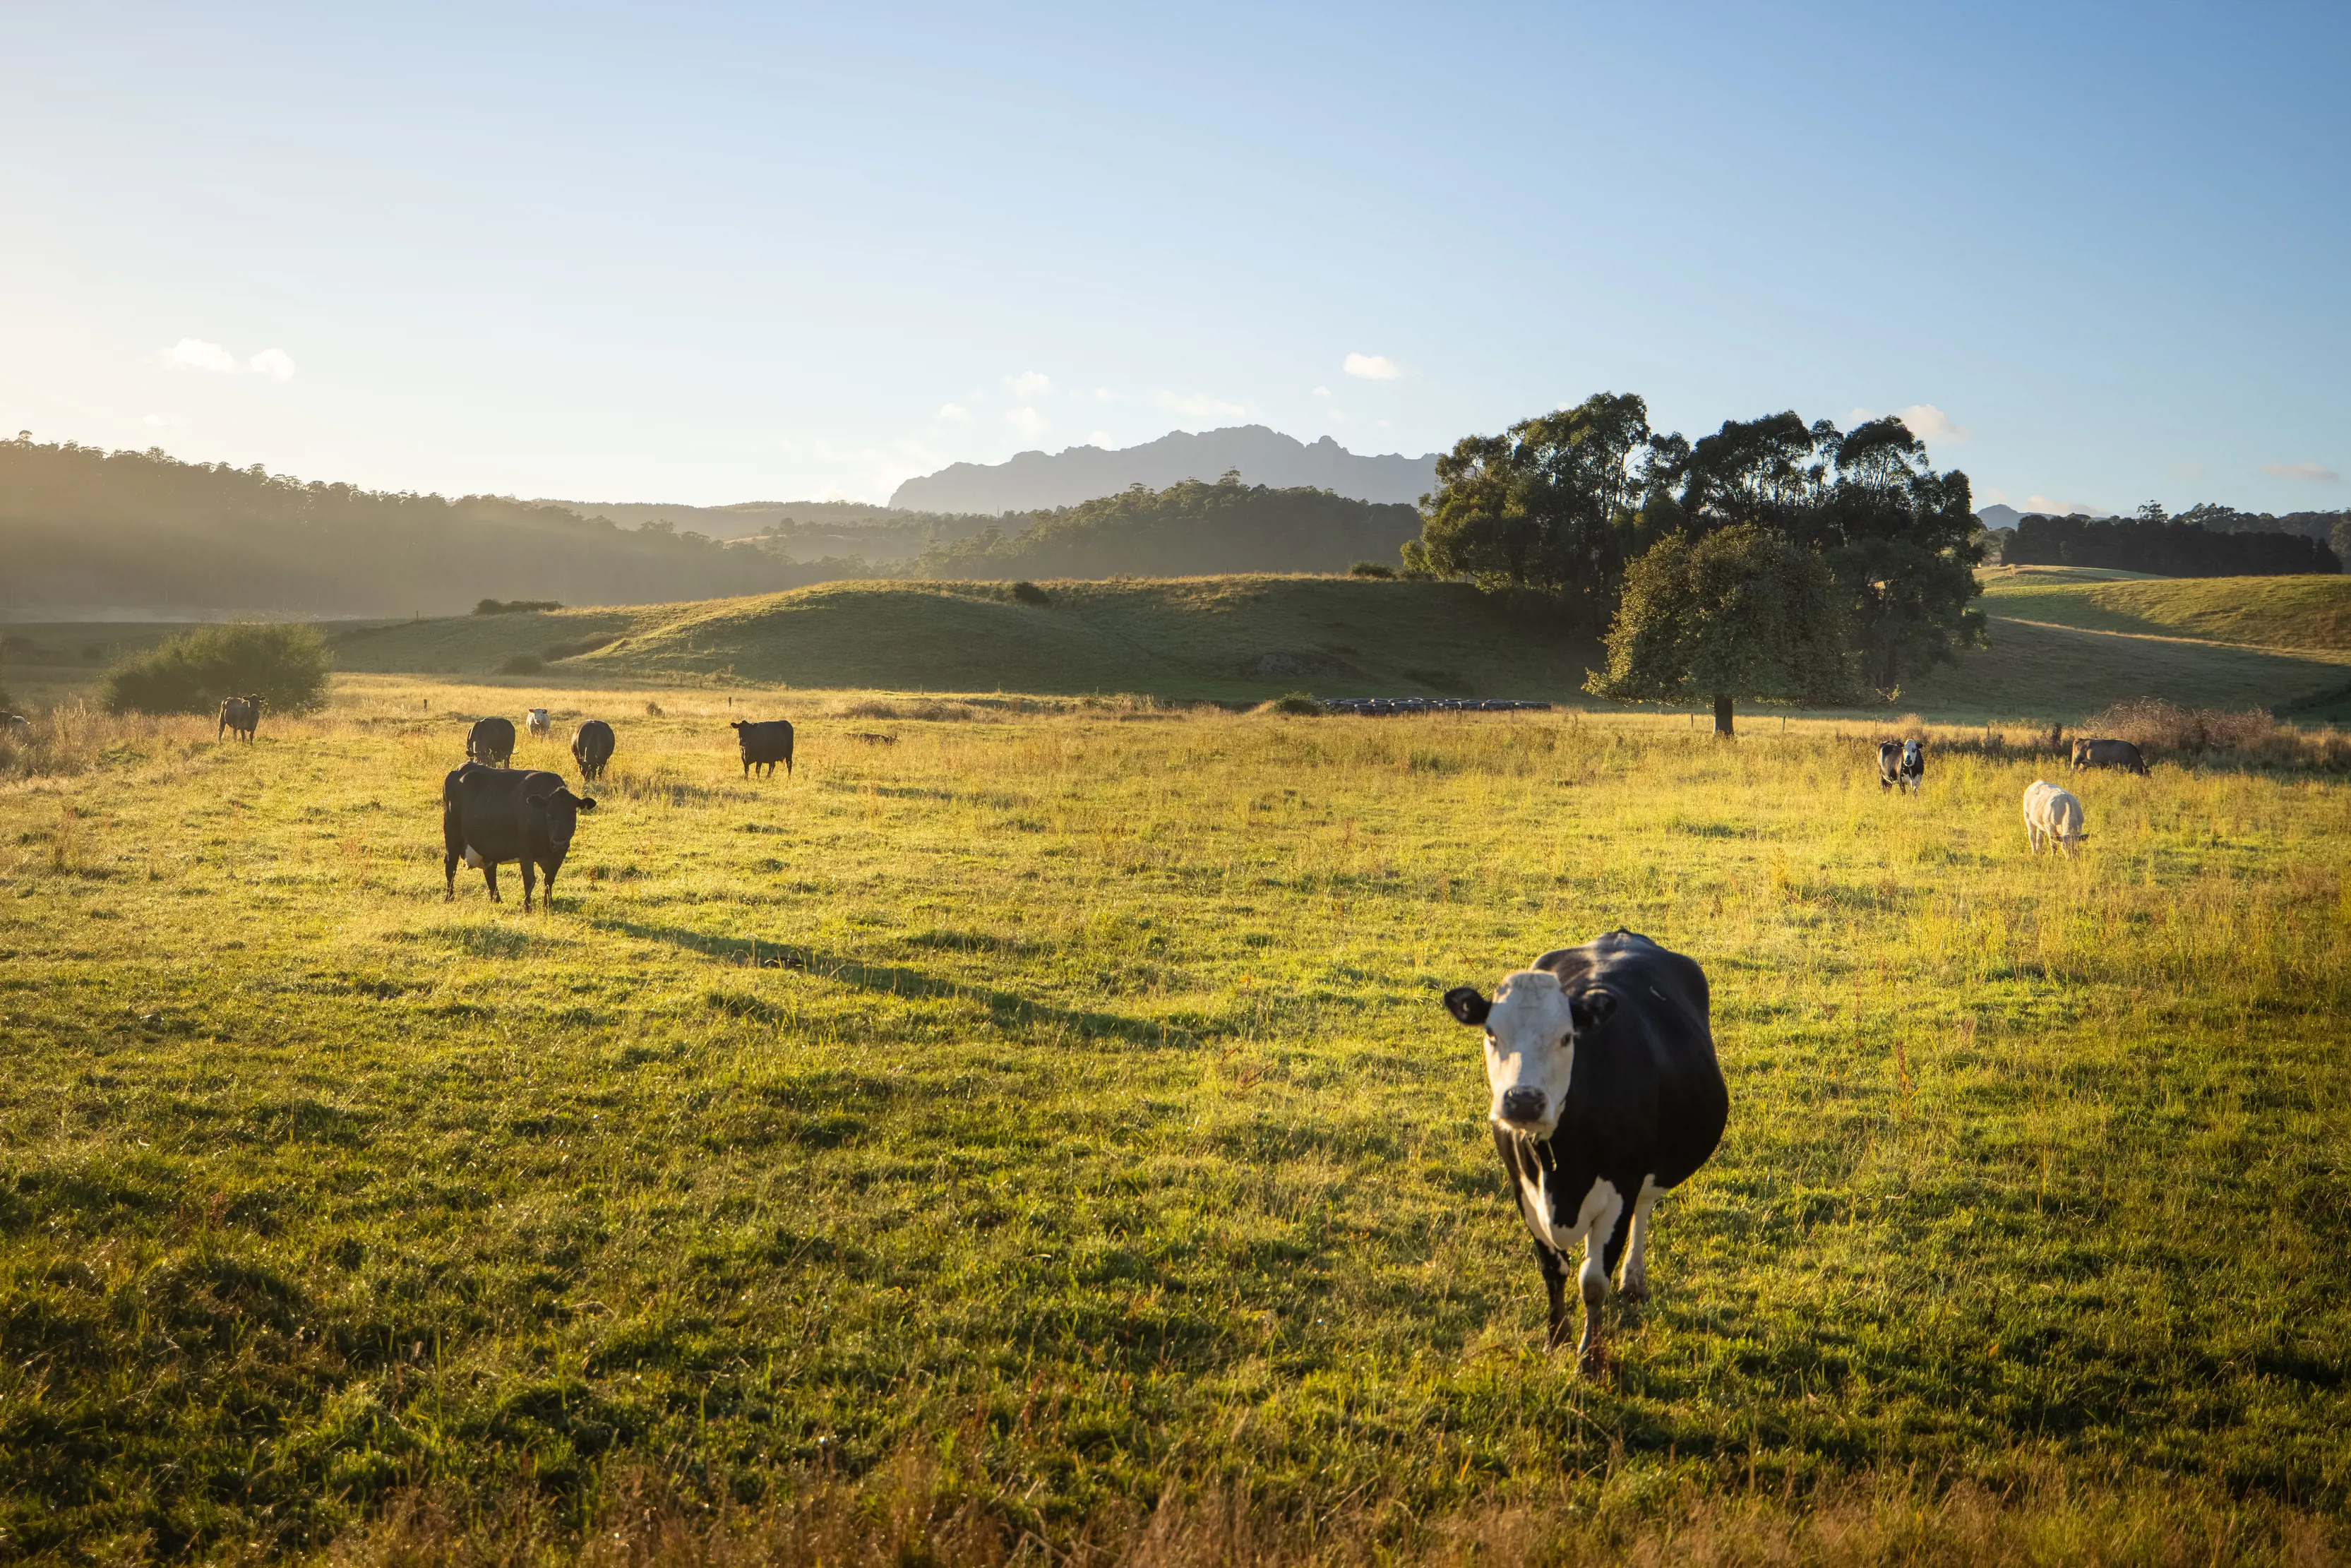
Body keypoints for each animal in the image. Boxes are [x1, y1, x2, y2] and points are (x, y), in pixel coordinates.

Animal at [442, 757, 597, 907]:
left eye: (572, 814)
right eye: (548, 814)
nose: (559, 843)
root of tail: (460, 769)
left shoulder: (559, 854)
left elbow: (549, 879)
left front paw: (548, 904)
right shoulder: (525, 852)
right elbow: (530, 880)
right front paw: (527, 906)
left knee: (490, 871)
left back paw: (497, 900)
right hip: (452, 834)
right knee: (451, 866)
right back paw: (449, 897)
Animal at [1429, 930, 1730, 1372]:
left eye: (1566, 1037)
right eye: (1492, 1034)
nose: (1523, 1101)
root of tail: (1623, 934)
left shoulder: (1620, 1188)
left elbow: (1592, 1282)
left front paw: (1590, 1357)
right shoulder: (1523, 1191)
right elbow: (1553, 1268)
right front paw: (1556, 1339)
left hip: (1648, 1170)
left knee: (1645, 1206)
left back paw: (1633, 1280)